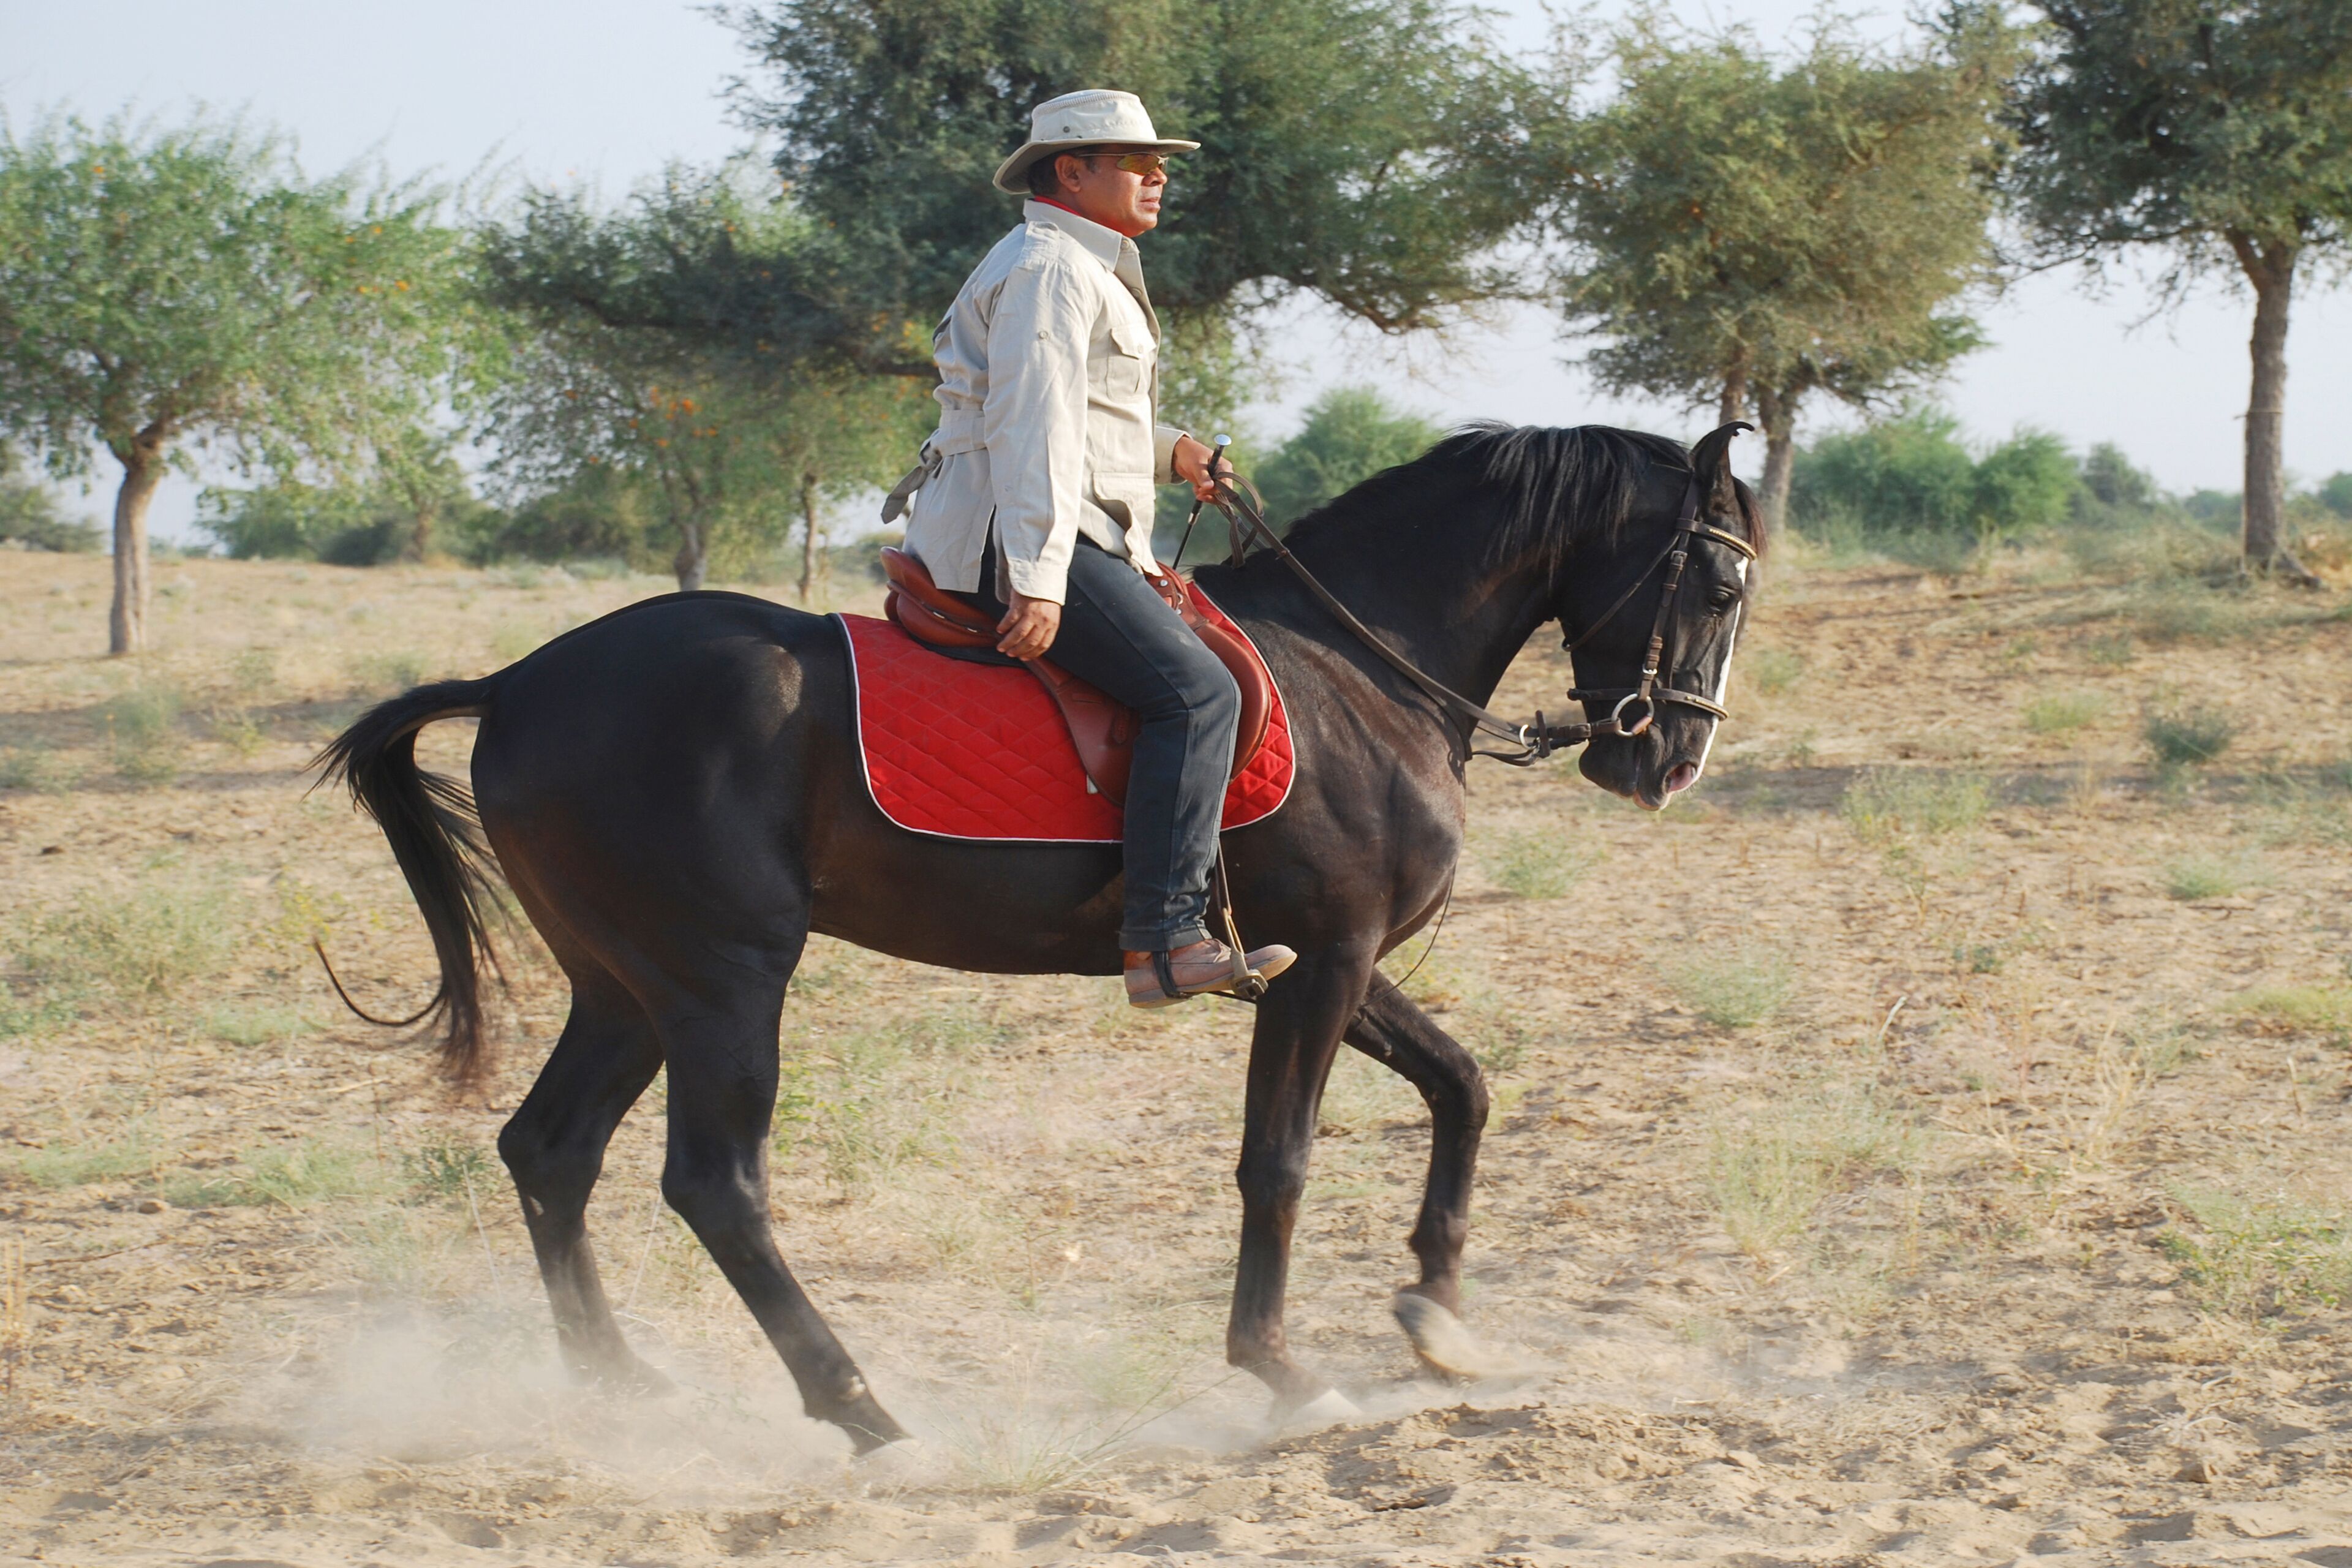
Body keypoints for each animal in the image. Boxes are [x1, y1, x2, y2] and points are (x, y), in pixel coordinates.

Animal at [316, 420, 1763, 1453]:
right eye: (1711, 576)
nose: (1671, 760)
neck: (1359, 667)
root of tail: (519, 682)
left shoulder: (1323, 965)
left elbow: (1464, 1086)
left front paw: (1440, 1323)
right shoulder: (1327, 960)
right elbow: (1280, 1162)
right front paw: (1284, 1372)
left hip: (626, 989)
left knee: (549, 1152)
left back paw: (622, 1386)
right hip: (721, 983)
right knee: (714, 1185)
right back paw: (864, 1413)